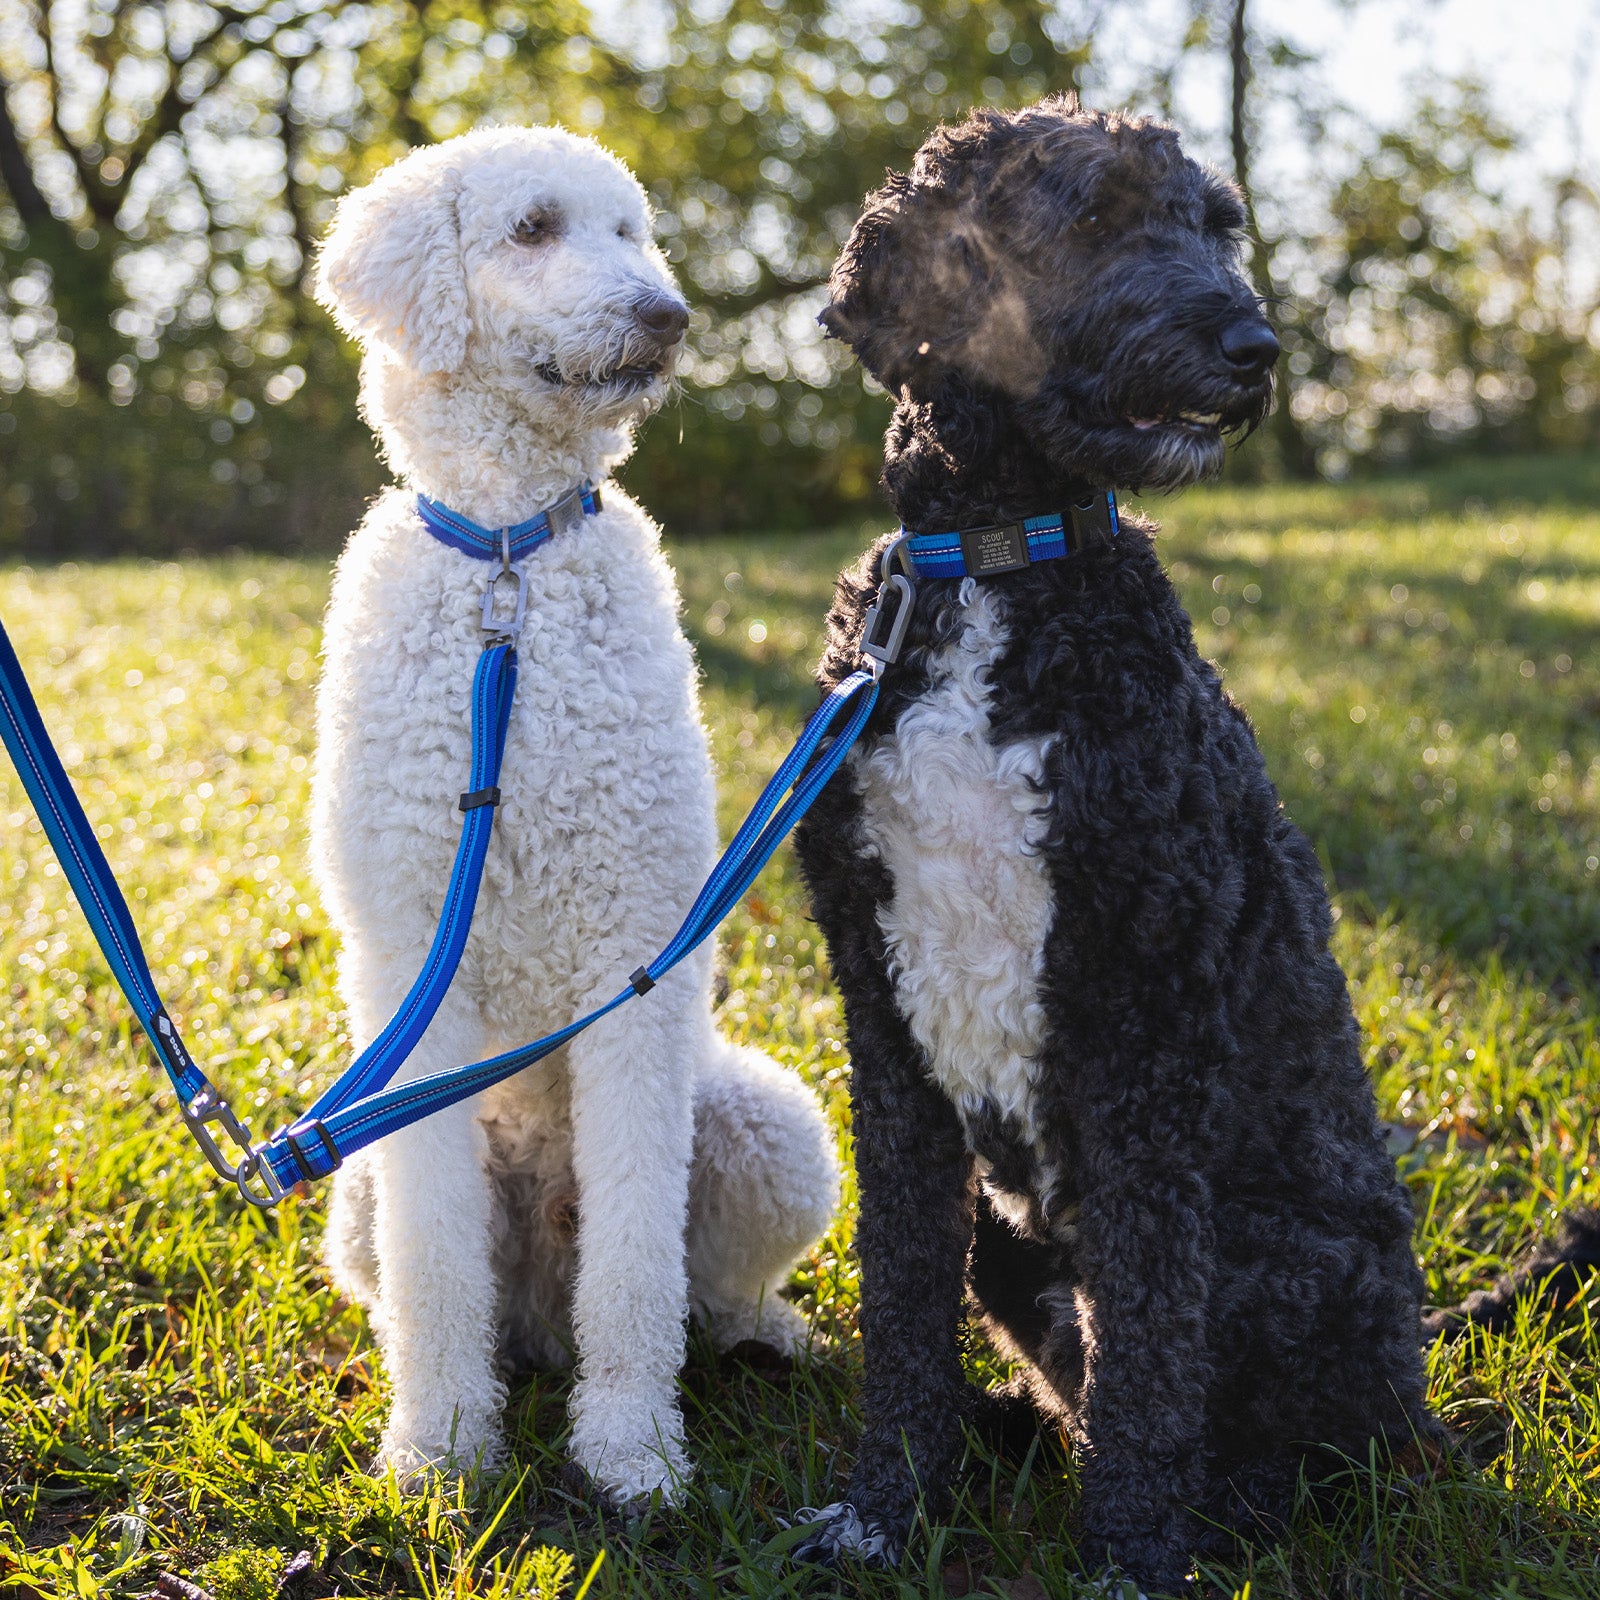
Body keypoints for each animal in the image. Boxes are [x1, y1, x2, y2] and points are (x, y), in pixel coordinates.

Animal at [305, 131, 844, 1504]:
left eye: (631, 231)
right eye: (534, 227)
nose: (669, 316)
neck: (512, 565)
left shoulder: (634, 957)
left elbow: (641, 1260)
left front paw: (633, 1449)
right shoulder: (410, 968)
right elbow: (438, 1264)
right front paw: (441, 1444)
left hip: (767, 1126)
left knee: (704, 1286)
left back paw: (756, 1333)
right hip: (356, 1174)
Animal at [793, 96, 1446, 1587]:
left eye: (1217, 223)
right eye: (1091, 216)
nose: (1255, 348)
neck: (1001, 565)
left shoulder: (1144, 1008)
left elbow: (1150, 1328)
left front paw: (1133, 1553)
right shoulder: (881, 1019)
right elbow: (898, 1288)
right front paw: (886, 1506)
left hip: (1277, 1262)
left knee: (1308, 1444)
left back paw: (1216, 1509)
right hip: (1005, 1234)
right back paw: (1001, 1439)